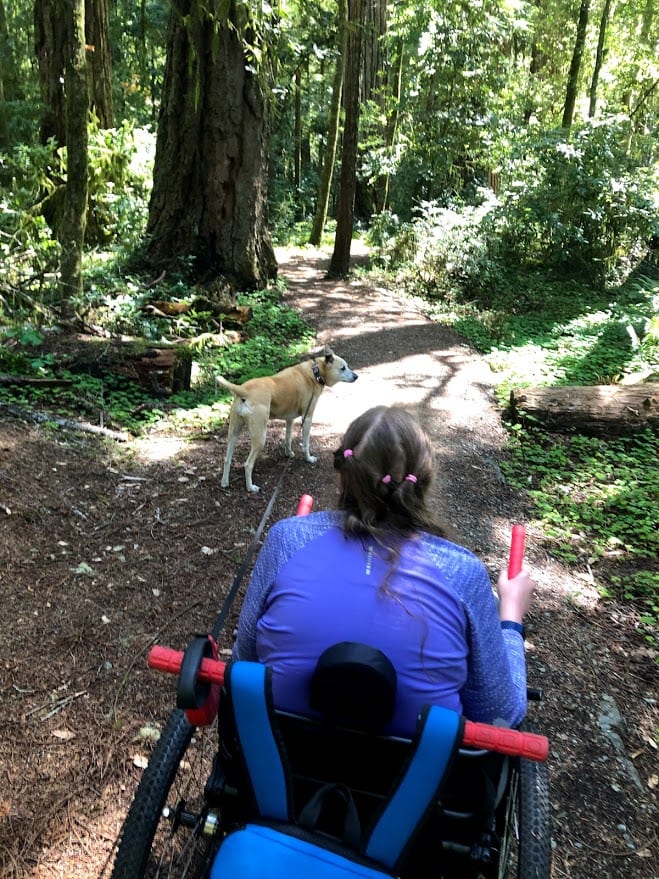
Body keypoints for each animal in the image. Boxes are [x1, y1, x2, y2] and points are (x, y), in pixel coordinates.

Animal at [218, 348, 358, 492]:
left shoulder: (290, 419)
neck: (315, 373)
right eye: (343, 368)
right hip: (260, 437)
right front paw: (308, 458)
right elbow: (305, 443)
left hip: (233, 433)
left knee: (227, 459)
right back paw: (251, 487)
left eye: (347, 366)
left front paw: (288, 453)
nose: (356, 376)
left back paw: (224, 483)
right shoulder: (307, 418)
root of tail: (244, 389)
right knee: (247, 464)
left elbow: (288, 438)